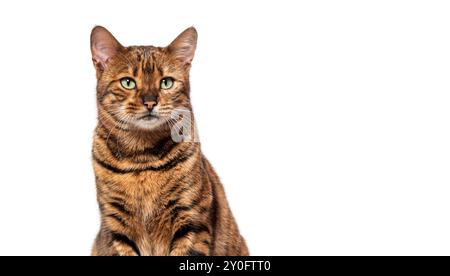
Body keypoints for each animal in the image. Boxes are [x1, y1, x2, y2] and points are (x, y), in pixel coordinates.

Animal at [89, 26, 248, 256]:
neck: (142, 157)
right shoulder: (116, 225)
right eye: (128, 82)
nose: (150, 102)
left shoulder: (191, 221)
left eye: (166, 82)